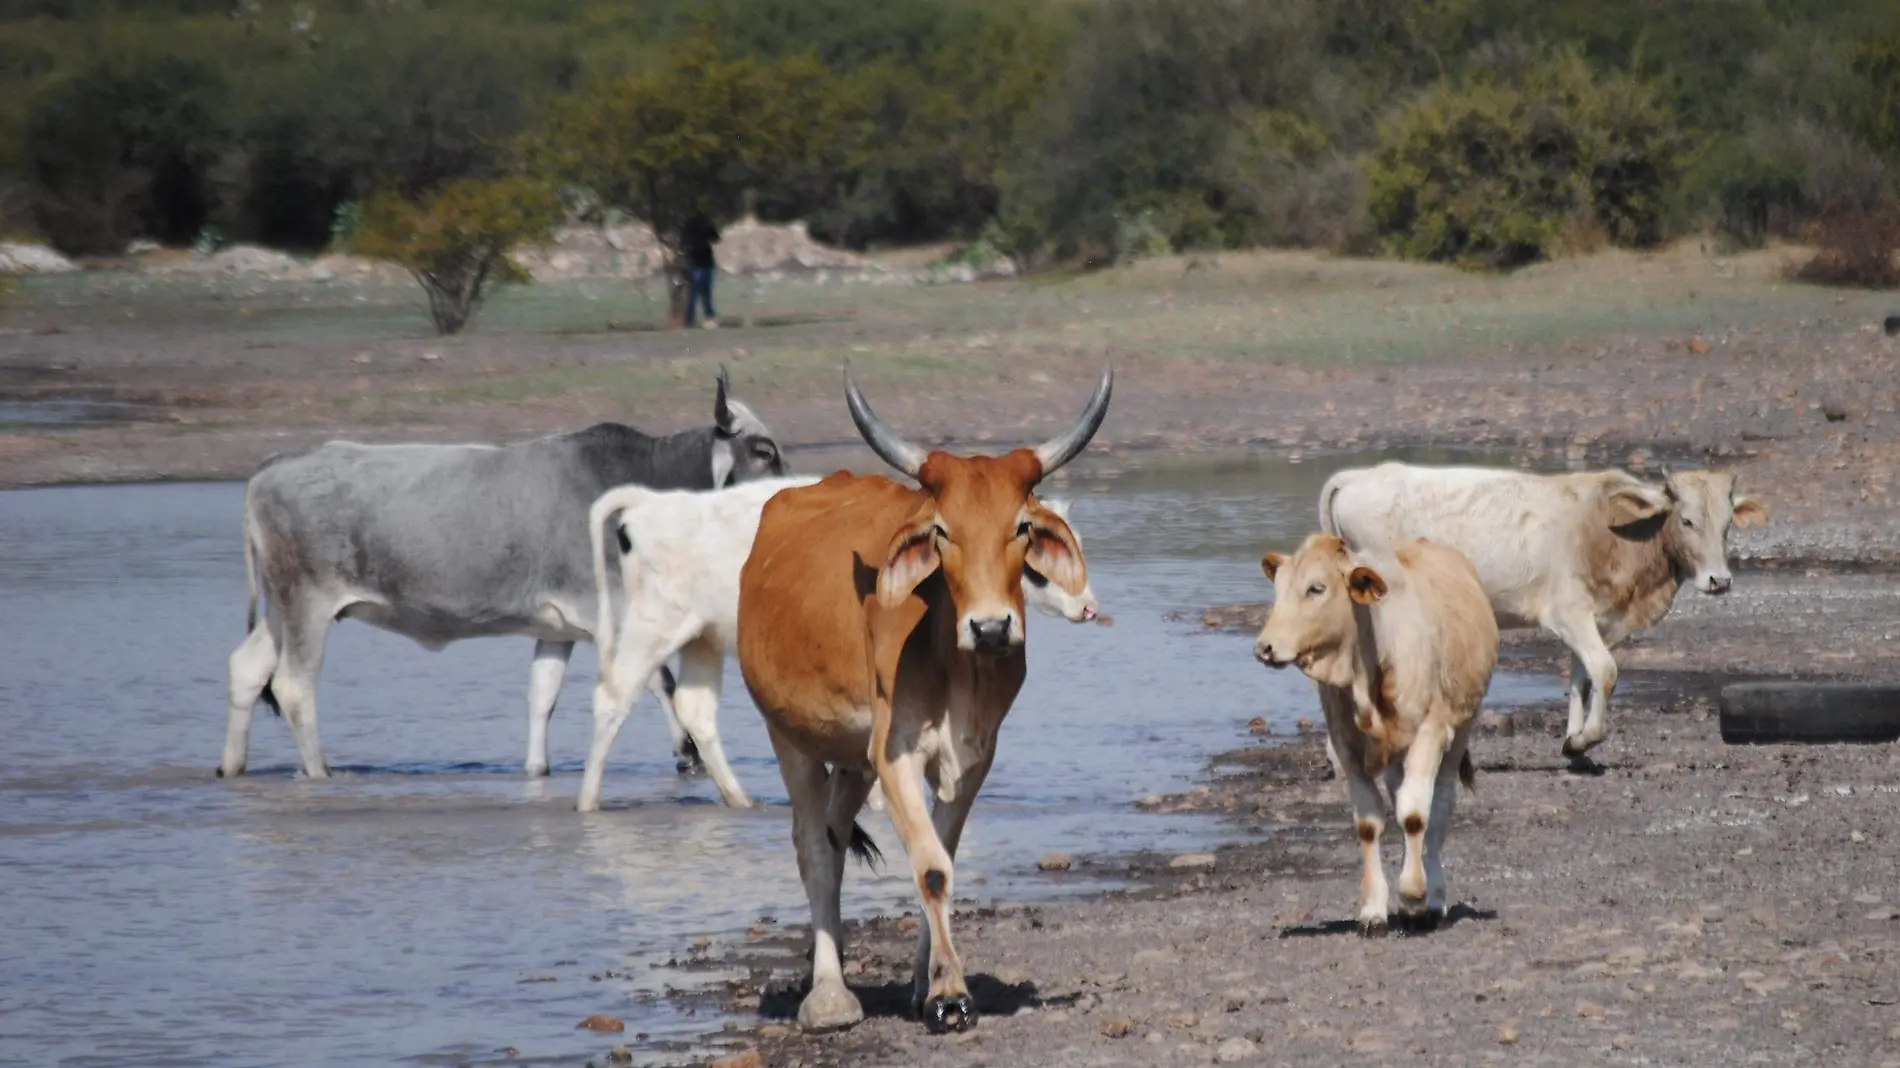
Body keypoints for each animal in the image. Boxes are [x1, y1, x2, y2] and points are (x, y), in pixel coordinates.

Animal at [220, 370, 786, 779]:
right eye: (763, 450)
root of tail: (276, 464)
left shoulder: (559, 627)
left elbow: (542, 695)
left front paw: (536, 770)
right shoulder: (611, 616)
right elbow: (658, 682)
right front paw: (688, 755)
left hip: (281, 609)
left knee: (248, 668)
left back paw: (232, 767)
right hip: (307, 605)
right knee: (294, 687)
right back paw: (320, 773)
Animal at [577, 473, 1102, 805]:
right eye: (1036, 566)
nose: (1089, 607)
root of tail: (652, 505)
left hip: (702, 637)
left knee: (695, 709)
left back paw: (741, 801)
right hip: (653, 625)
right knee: (612, 696)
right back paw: (587, 802)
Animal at [729, 364, 1109, 1033]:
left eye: (1021, 526)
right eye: (942, 531)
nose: (992, 627)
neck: (954, 661)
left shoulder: (975, 755)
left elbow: (943, 854)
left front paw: (929, 981)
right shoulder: (895, 753)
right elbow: (931, 867)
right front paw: (950, 995)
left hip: (851, 756)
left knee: (834, 834)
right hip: (789, 735)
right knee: (813, 848)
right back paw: (829, 993)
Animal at [1322, 463, 1763, 756]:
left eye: (1727, 524)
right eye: (1686, 520)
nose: (1720, 580)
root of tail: (1357, 476)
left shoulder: (1592, 618)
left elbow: (1581, 676)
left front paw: (1573, 737)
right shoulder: (1567, 613)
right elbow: (1605, 670)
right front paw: (1586, 739)